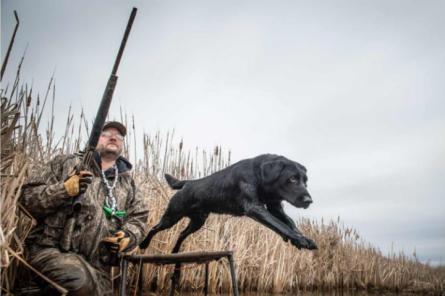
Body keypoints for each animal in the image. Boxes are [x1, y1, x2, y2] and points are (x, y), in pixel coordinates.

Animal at [140, 155, 318, 252]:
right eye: (292, 179)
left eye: (305, 181)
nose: (309, 201)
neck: (259, 174)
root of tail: (188, 183)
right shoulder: (254, 208)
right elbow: (280, 225)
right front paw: (299, 240)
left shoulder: (275, 208)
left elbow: (290, 224)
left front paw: (303, 238)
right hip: (172, 216)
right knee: (155, 228)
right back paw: (143, 244)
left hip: (197, 222)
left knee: (182, 234)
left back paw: (175, 251)